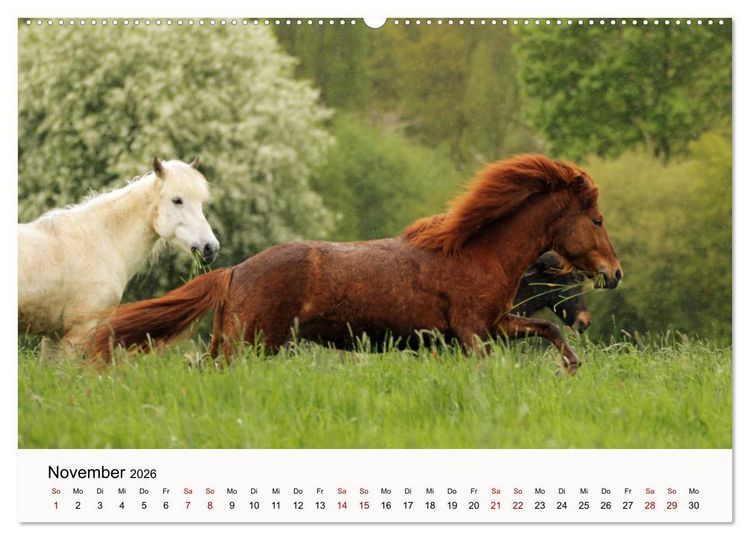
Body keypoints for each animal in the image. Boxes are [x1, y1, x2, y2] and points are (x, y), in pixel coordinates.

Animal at [18, 157, 220, 352]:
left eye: (200, 203)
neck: (100, 240)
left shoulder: (52, 336)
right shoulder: (79, 332)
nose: (211, 247)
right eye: (177, 200)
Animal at [93, 154, 622, 374]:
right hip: (253, 344)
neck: (478, 252)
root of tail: (235, 271)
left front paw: (571, 366)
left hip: (237, 343)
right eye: (596, 219)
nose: (615, 273)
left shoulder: (492, 326)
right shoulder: (474, 333)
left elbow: (546, 329)